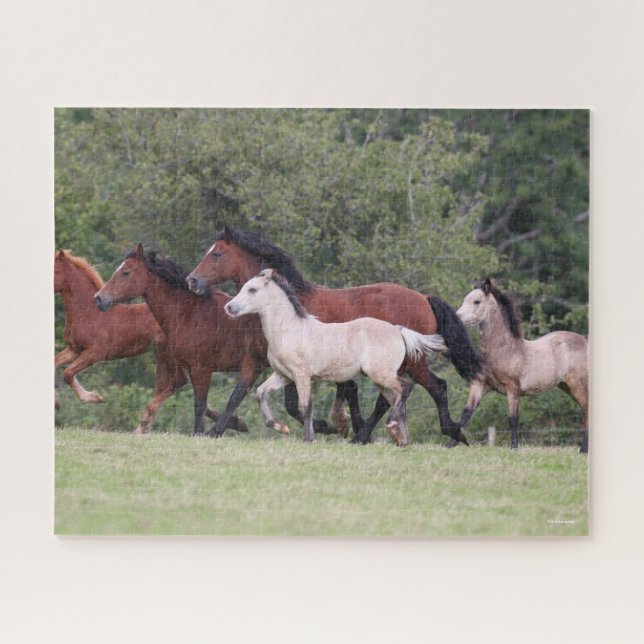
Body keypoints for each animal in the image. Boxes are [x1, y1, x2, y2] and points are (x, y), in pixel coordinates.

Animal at [54, 249, 164, 405]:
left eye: (55, 270)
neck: (91, 314)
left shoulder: (95, 353)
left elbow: (67, 373)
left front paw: (94, 397)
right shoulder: (74, 350)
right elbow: (55, 363)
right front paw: (56, 400)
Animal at [94, 244, 340, 437]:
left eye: (126, 272)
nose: (99, 298)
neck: (189, 314)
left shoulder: (202, 368)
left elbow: (200, 404)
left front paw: (200, 432)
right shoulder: (188, 368)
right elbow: (199, 401)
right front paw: (236, 424)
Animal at [225, 269, 448, 445]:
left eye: (252, 289)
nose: (229, 307)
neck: (289, 329)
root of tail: (399, 331)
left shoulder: (301, 376)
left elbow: (305, 406)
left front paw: (308, 439)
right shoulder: (283, 375)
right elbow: (261, 393)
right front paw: (280, 427)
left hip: (381, 374)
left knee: (405, 388)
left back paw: (392, 427)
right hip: (380, 378)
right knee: (395, 398)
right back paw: (402, 439)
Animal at [456, 278, 589, 452]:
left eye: (477, 301)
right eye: (465, 299)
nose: (456, 318)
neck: (505, 349)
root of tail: (585, 340)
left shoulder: (513, 389)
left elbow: (513, 418)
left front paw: (514, 448)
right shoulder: (480, 385)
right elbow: (466, 414)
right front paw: (449, 444)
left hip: (577, 386)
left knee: (587, 412)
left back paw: (583, 450)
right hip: (566, 386)